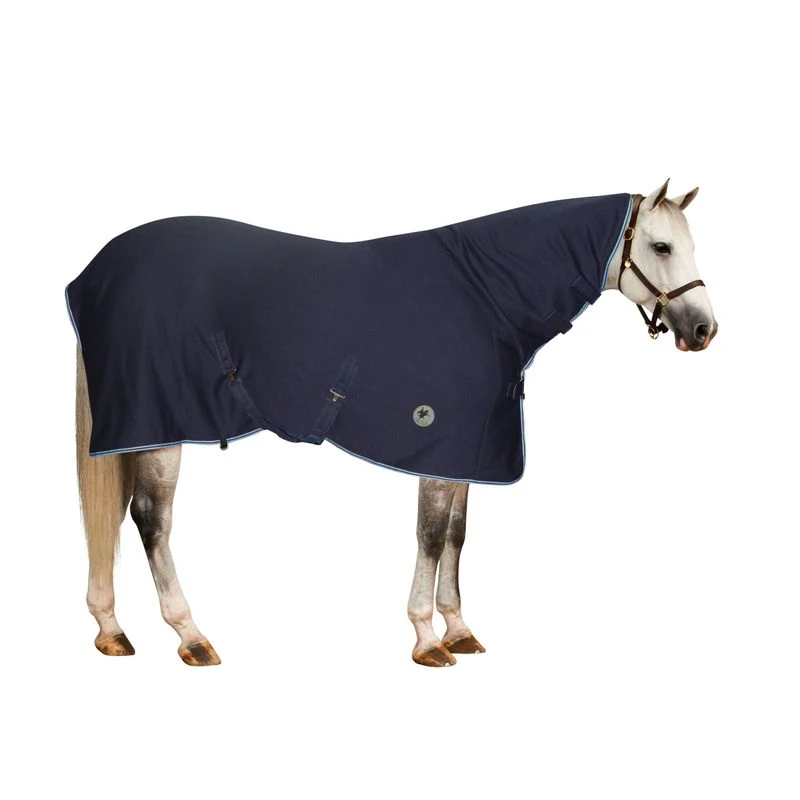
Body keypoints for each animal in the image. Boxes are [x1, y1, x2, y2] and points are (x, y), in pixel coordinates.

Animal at [68, 179, 717, 667]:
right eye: (661, 247)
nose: (704, 329)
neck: (484, 295)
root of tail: (95, 271)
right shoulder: (435, 444)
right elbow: (430, 537)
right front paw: (427, 639)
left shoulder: (467, 449)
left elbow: (456, 537)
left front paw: (459, 630)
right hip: (160, 423)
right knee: (151, 521)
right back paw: (191, 636)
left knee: (115, 517)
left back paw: (111, 629)